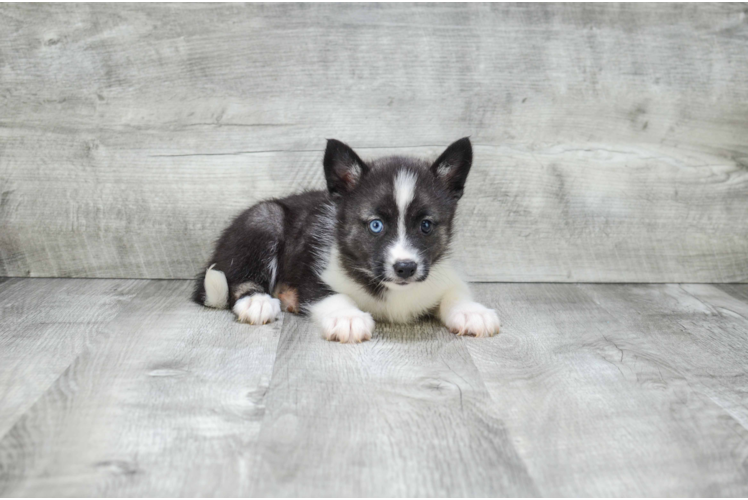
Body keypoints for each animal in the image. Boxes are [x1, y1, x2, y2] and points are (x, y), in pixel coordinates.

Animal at [193, 138, 500, 344]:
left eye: (426, 225)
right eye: (376, 225)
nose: (405, 268)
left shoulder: (440, 273)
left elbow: (455, 292)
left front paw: (472, 312)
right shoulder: (313, 272)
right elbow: (332, 294)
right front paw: (348, 318)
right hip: (264, 218)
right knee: (238, 279)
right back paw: (257, 301)